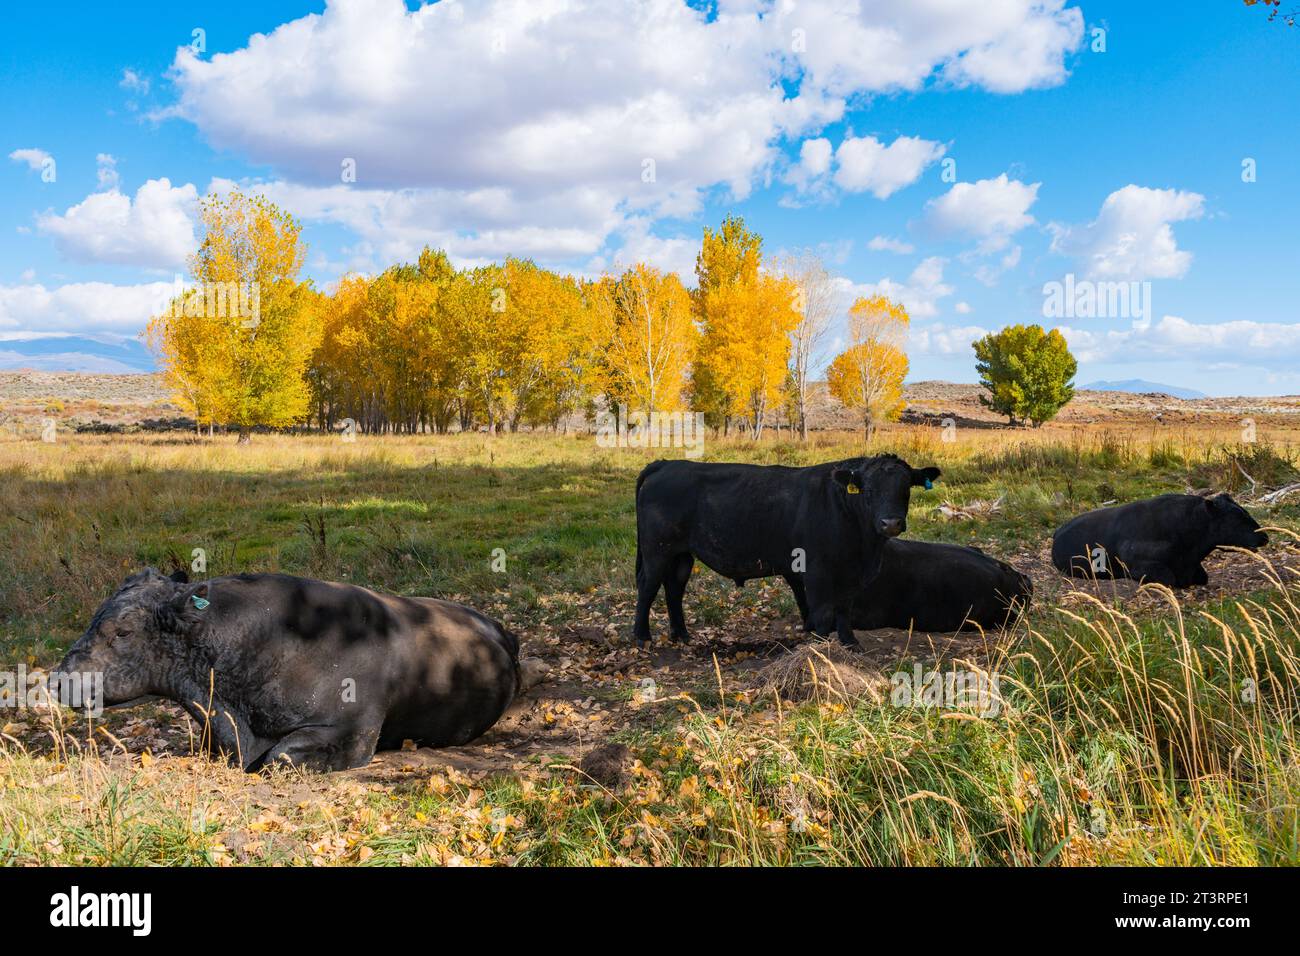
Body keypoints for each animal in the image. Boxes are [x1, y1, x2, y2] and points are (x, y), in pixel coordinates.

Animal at [634, 452, 941, 647]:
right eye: (868, 489)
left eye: (906, 488)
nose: (891, 523)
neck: (864, 548)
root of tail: (666, 464)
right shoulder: (816, 571)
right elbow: (822, 612)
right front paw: (819, 647)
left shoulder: (851, 575)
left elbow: (844, 608)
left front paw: (850, 643)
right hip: (656, 551)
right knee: (648, 587)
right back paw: (642, 637)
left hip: (681, 555)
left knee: (674, 589)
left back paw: (682, 635)